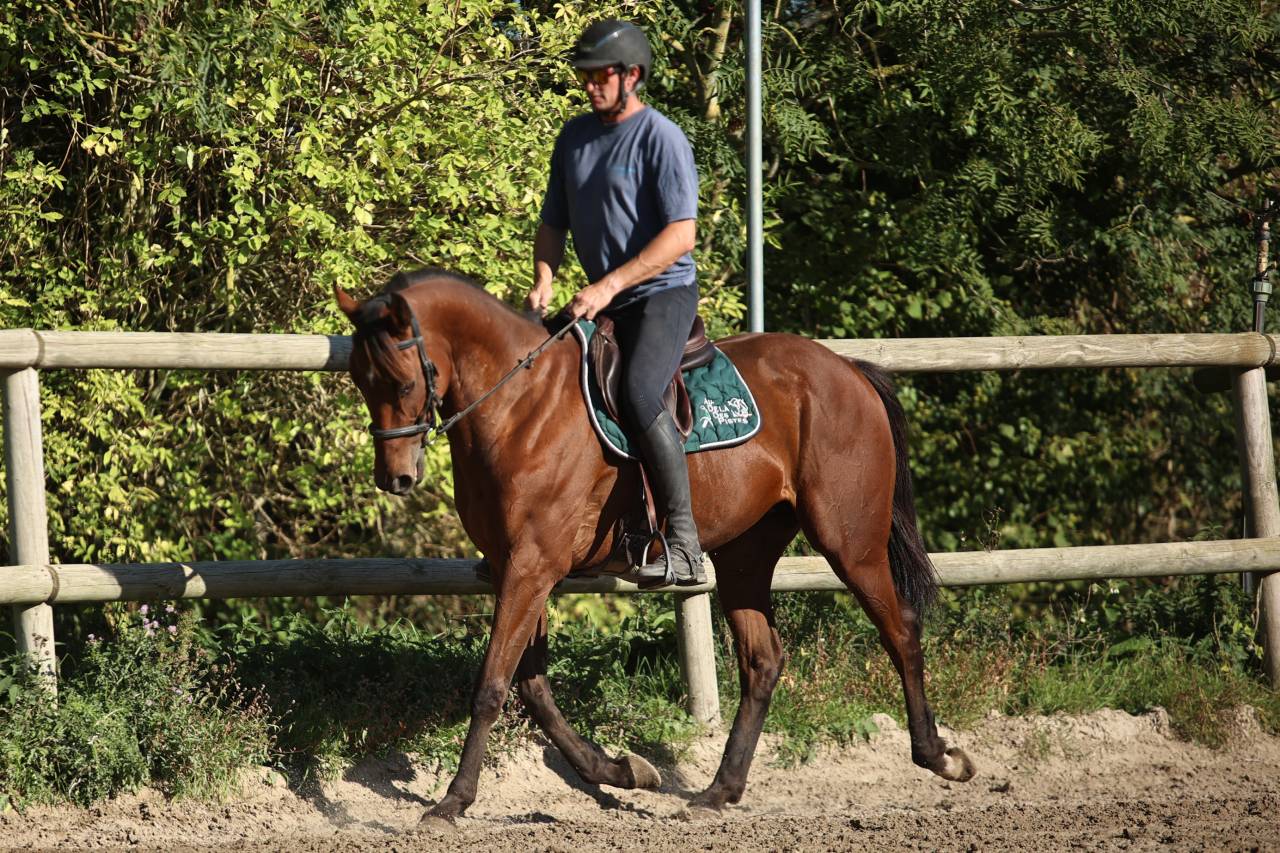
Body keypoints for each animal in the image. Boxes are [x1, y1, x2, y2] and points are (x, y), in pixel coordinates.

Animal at [334, 268, 975, 826]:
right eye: (361, 382)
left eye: (401, 381)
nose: (395, 478)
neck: (520, 405)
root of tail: (848, 369)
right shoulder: (515, 567)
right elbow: (534, 687)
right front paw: (622, 771)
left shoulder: (532, 567)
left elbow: (493, 684)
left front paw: (452, 802)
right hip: (745, 555)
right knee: (763, 660)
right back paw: (719, 791)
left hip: (851, 543)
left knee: (901, 630)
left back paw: (938, 756)